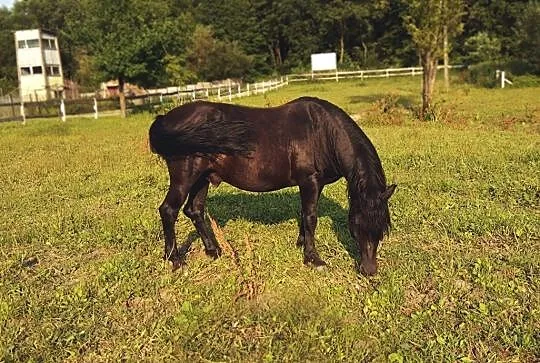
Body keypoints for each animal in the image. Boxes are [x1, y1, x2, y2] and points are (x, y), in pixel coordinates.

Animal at [150, 96, 394, 276]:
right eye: (356, 227)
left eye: (382, 229)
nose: (369, 270)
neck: (322, 132)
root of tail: (165, 118)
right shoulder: (309, 181)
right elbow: (311, 217)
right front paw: (313, 259)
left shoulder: (315, 184)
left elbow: (304, 213)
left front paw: (302, 243)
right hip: (185, 178)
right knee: (169, 210)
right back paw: (175, 260)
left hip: (202, 178)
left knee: (195, 210)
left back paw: (213, 251)